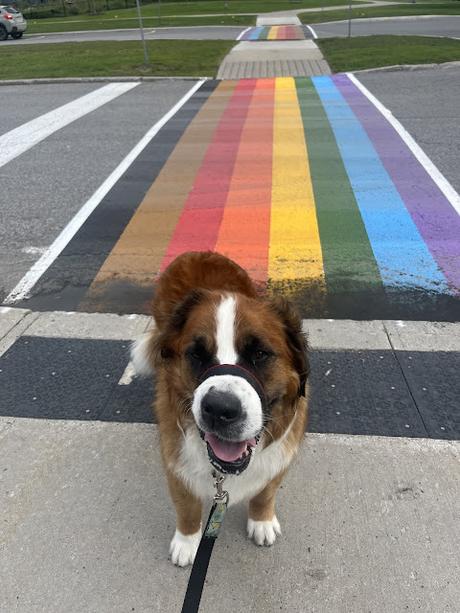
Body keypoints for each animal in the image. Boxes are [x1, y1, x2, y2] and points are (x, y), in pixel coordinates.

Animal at [130, 250, 310, 564]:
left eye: (259, 353)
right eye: (197, 354)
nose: (219, 409)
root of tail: (196, 252)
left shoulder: (280, 459)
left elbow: (265, 493)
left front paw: (262, 520)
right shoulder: (175, 460)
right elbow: (187, 505)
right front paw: (187, 540)